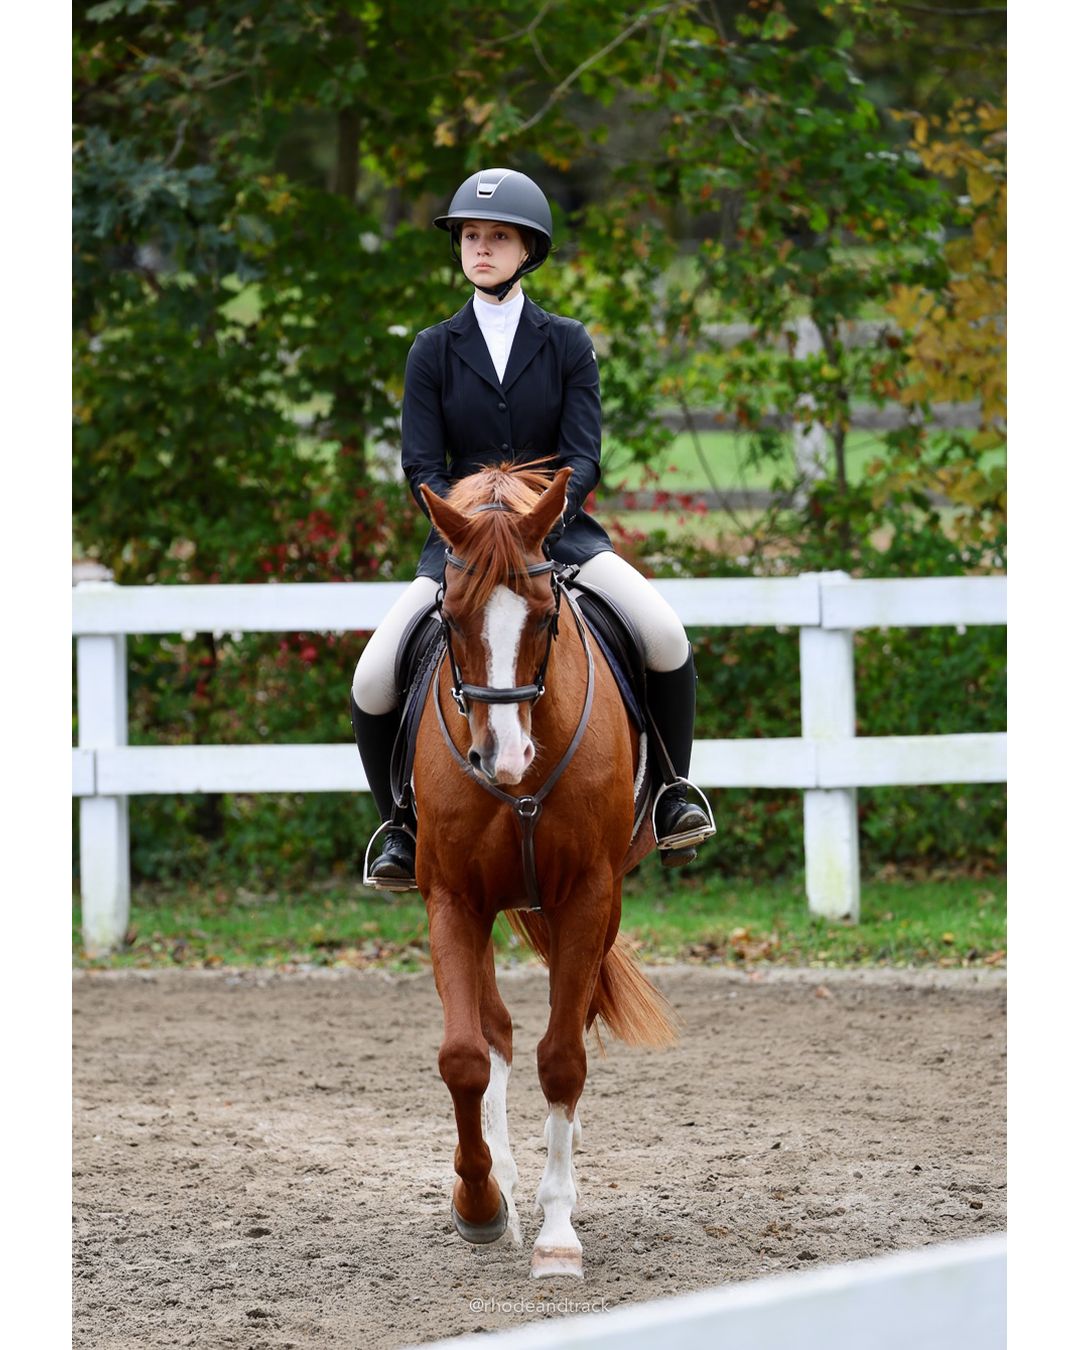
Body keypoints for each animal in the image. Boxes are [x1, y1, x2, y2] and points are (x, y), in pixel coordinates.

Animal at [412, 462, 678, 1280]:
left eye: (541, 615)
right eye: (452, 616)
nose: (503, 759)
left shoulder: (588, 894)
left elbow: (562, 1057)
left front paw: (558, 1231)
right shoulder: (453, 900)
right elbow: (465, 1056)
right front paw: (479, 1204)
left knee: (575, 1015)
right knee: (494, 1030)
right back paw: (501, 1171)